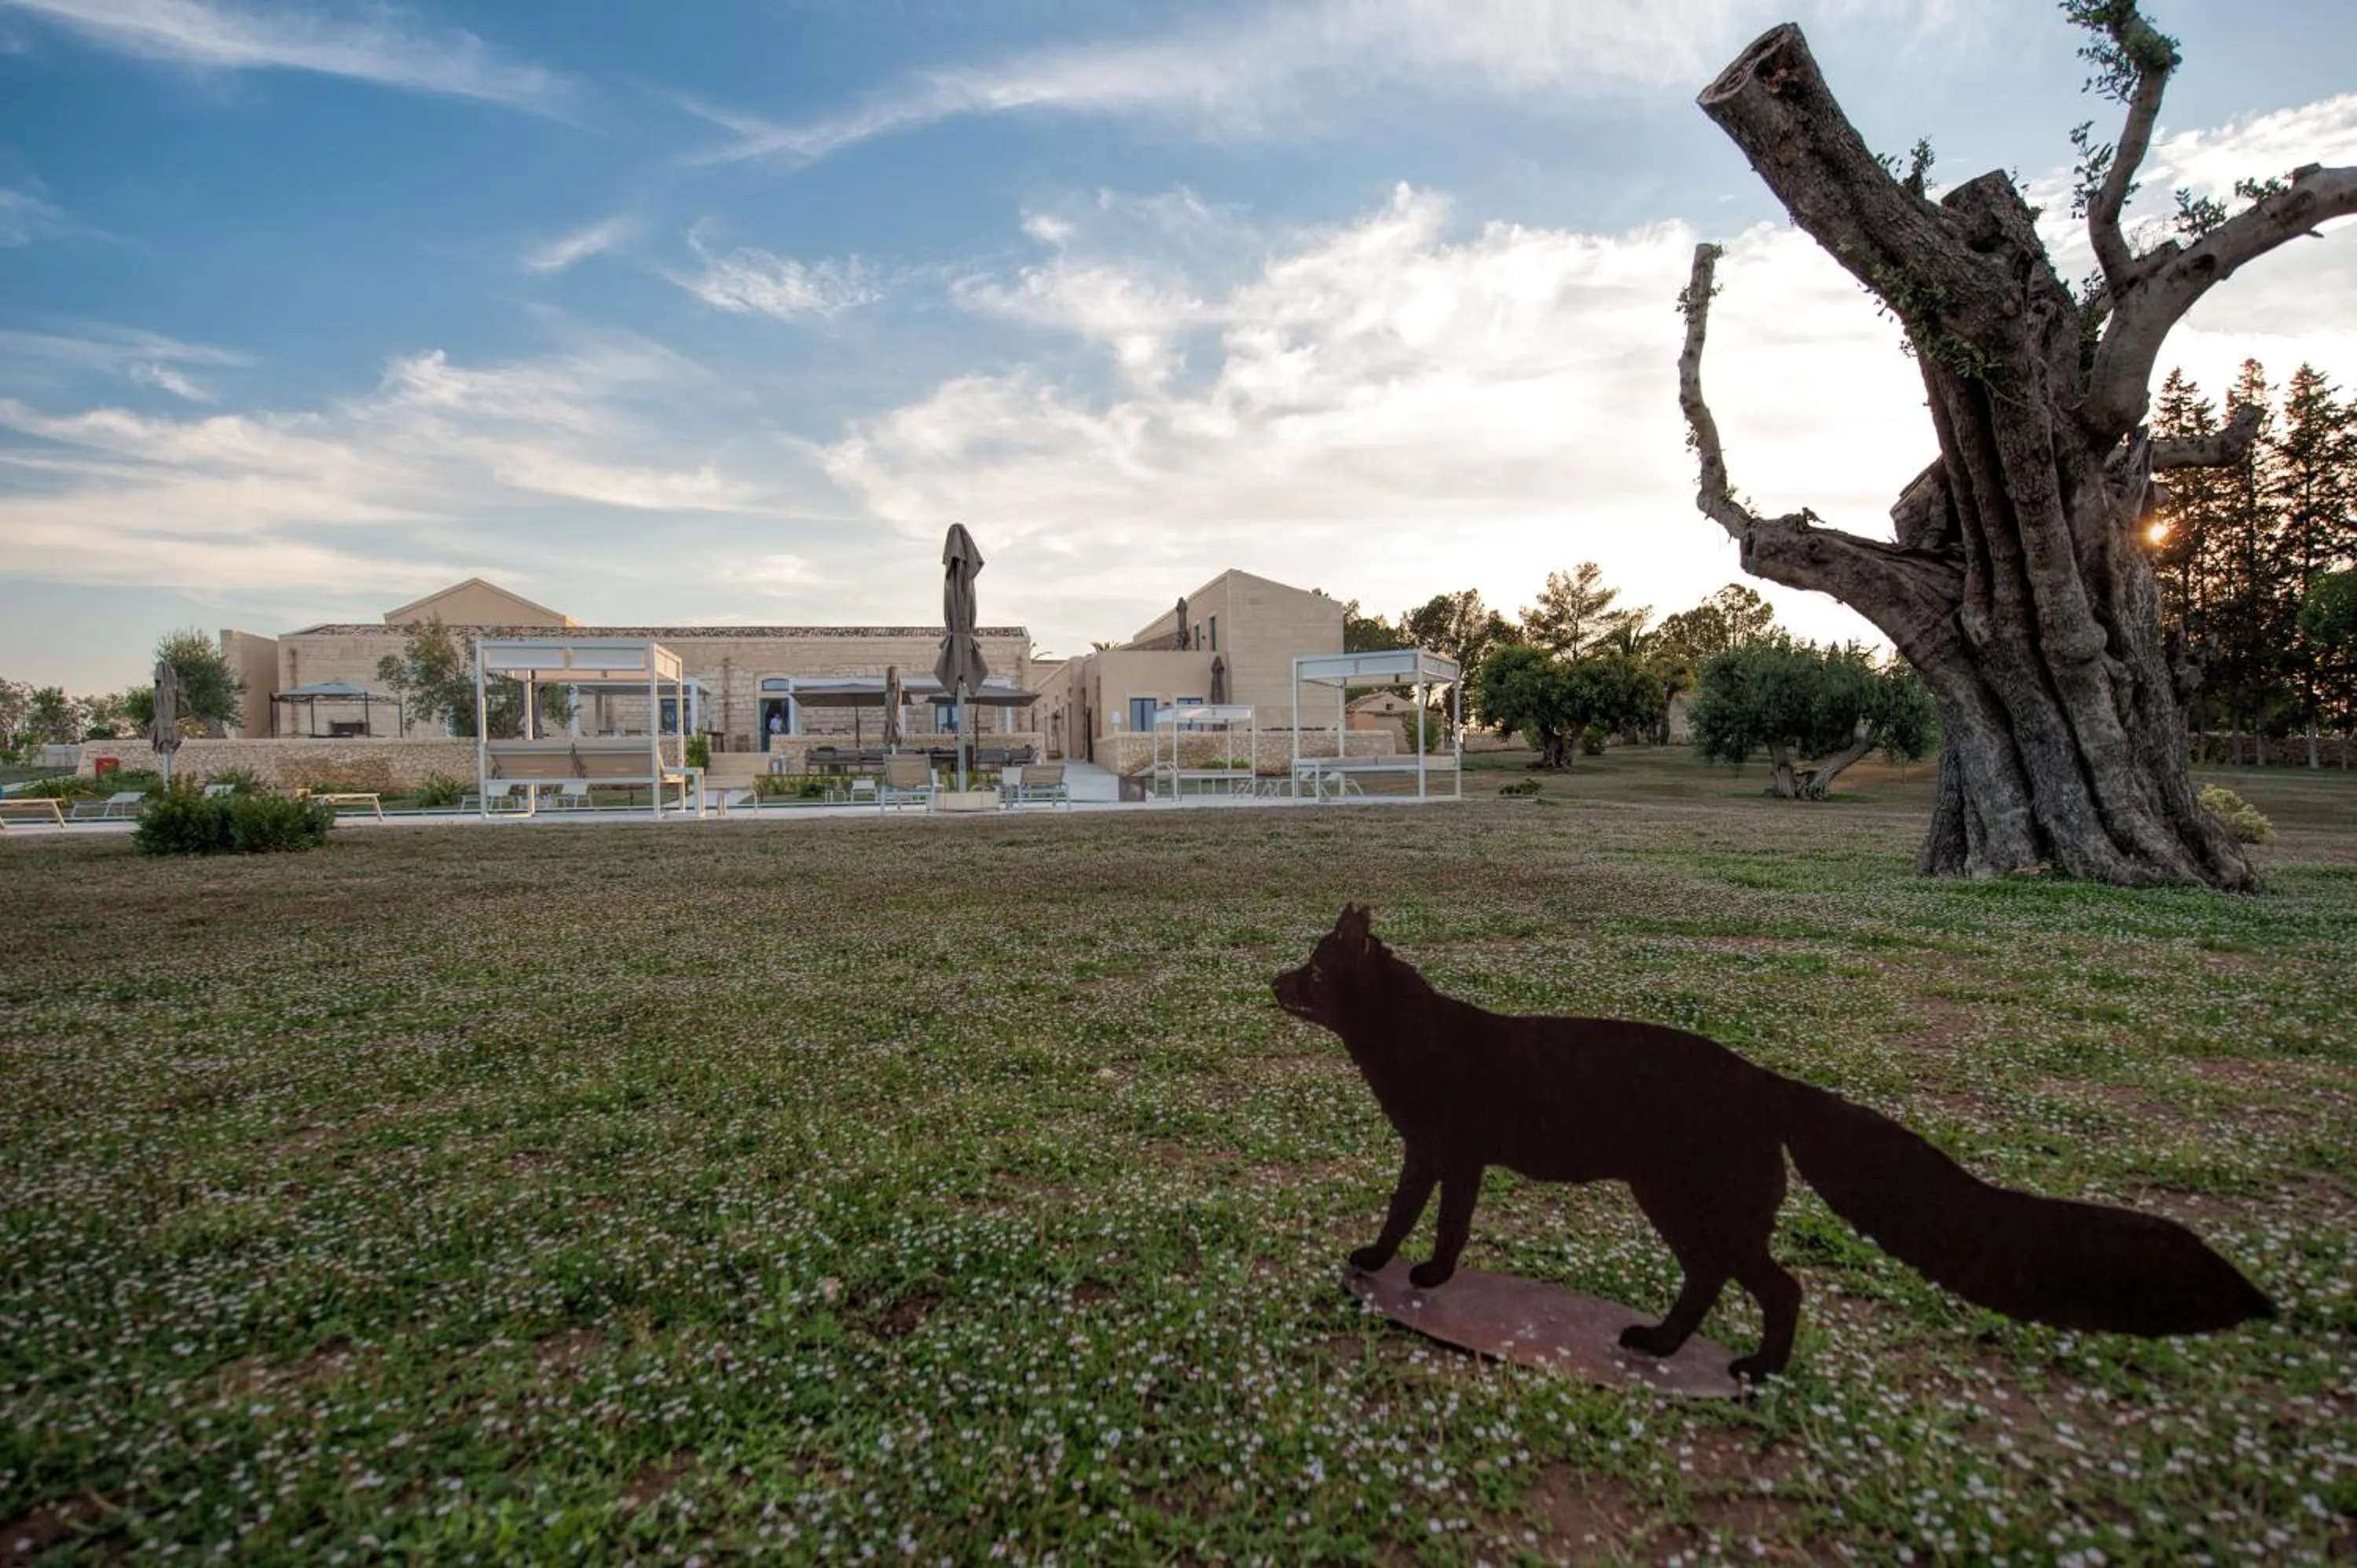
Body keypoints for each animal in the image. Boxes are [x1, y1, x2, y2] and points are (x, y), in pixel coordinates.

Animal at [1273, 904, 2276, 1381]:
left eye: (1314, 969)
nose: (1270, 980)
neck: (1405, 1035)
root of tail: (1768, 1082)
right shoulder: (1455, 1159)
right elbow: (1438, 1221)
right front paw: (1416, 1273)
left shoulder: (1442, 1153)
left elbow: (1418, 1218)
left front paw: (1393, 1266)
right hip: (1688, 1207)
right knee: (1720, 1281)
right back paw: (1662, 1346)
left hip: (1690, 1201)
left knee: (1776, 1285)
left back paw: (1749, 1368)